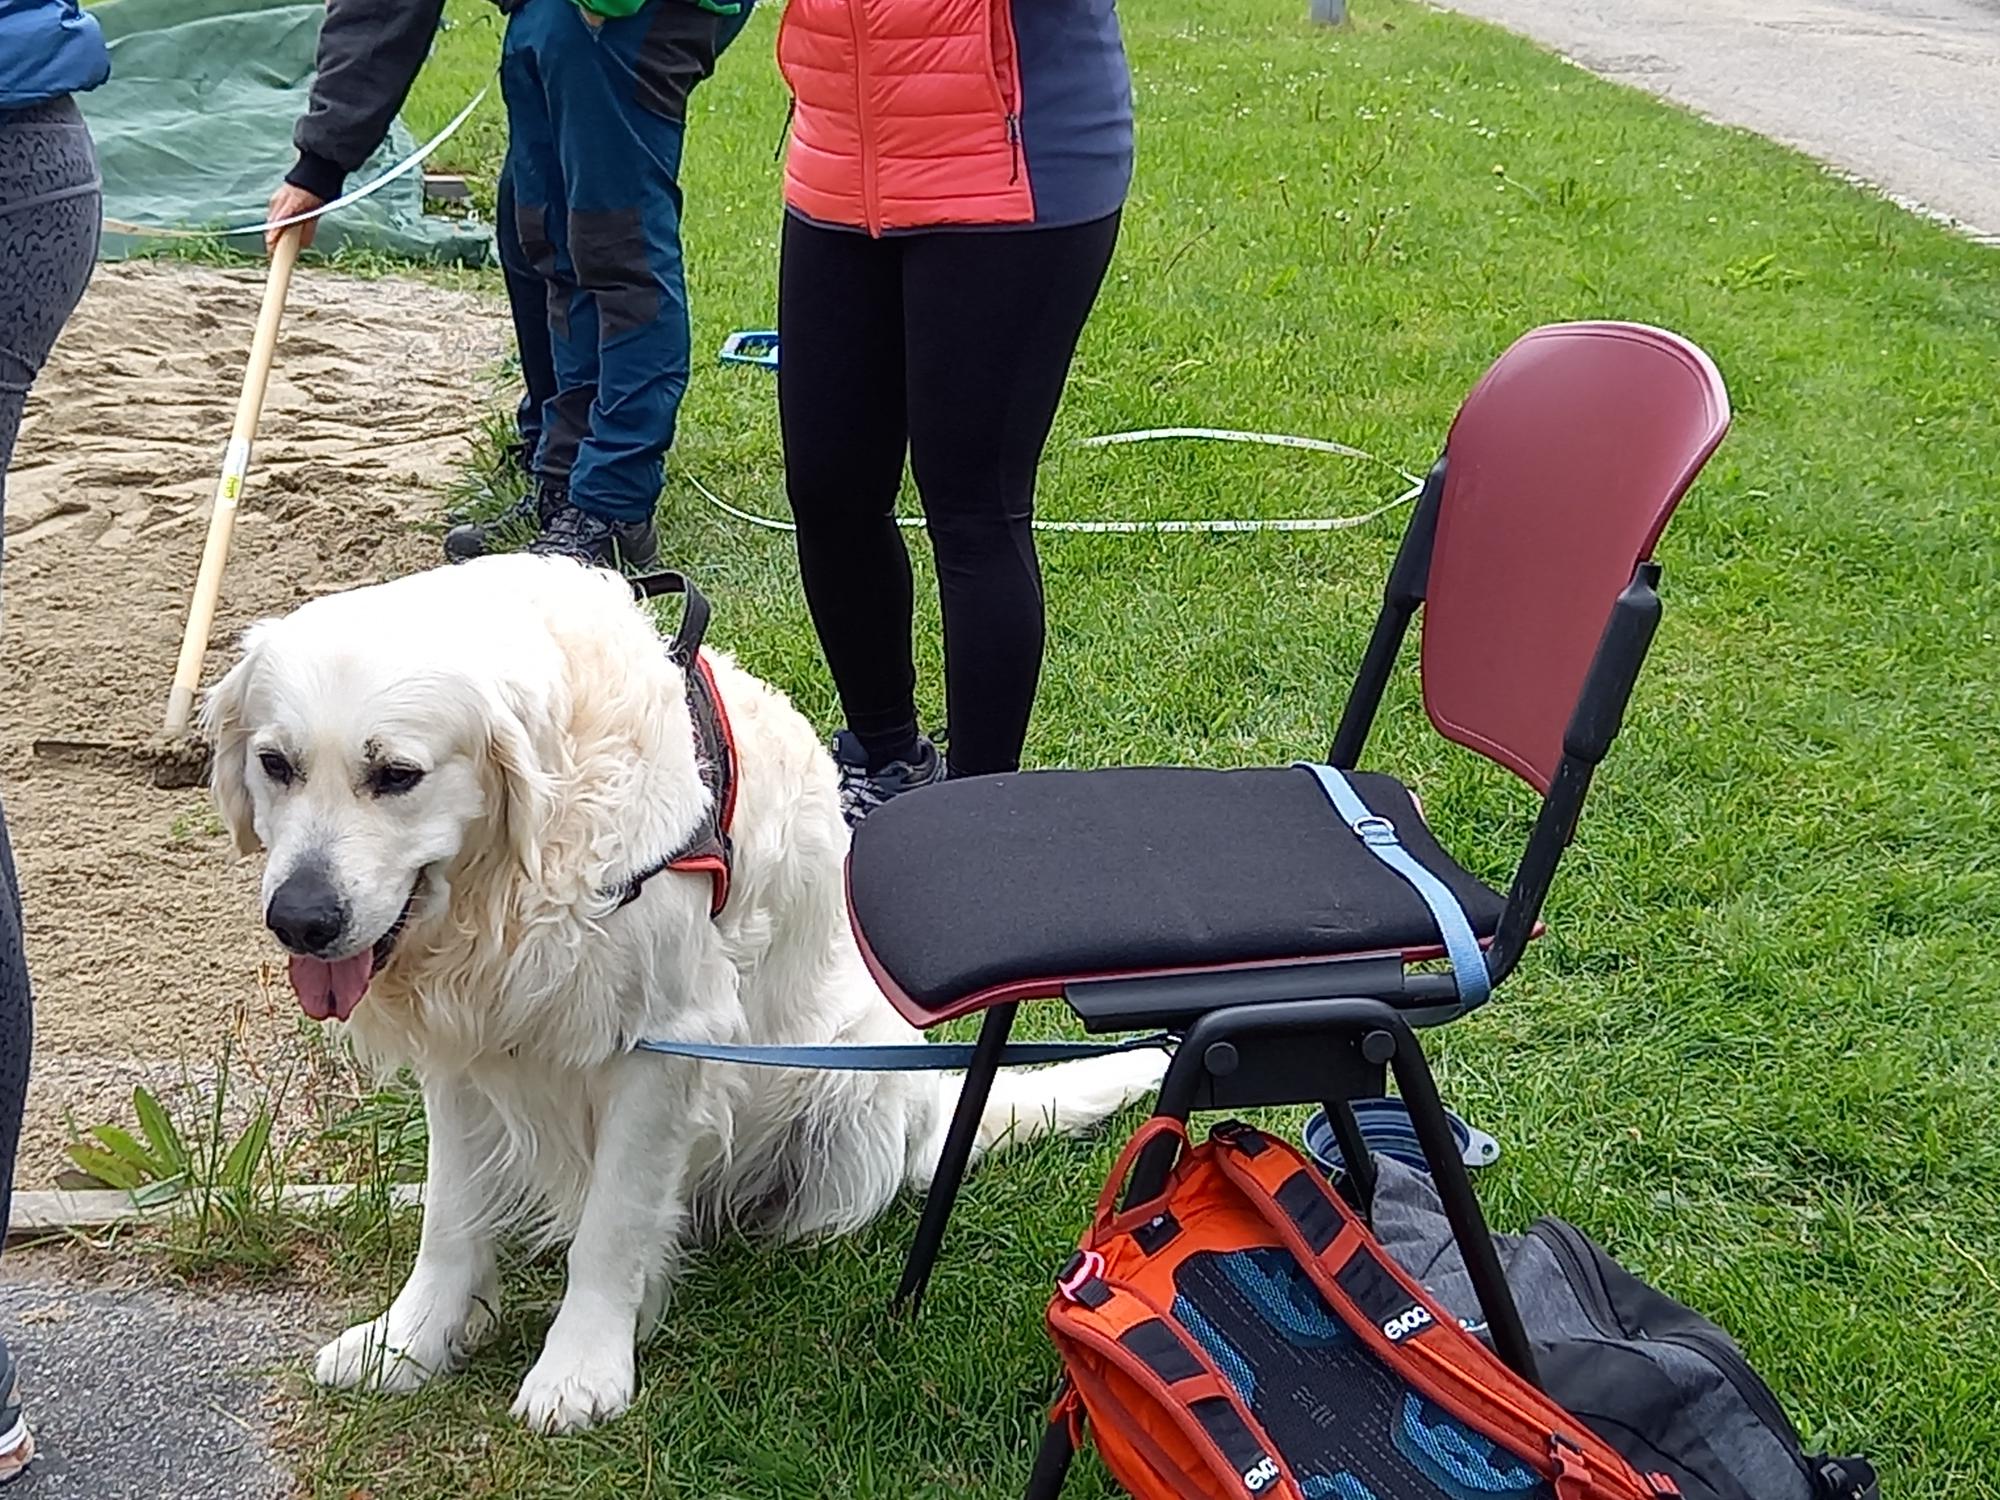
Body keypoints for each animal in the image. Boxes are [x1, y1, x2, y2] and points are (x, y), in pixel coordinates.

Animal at [203, 552, 1160, 1432]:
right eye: (276, 764)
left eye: (396, 775)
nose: (299, 920)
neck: (520, 870)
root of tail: (926, 1118)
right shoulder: (466, 1044)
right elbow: (450, 1215)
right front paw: (412, 1341)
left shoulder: (661, 1045)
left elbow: (614, 1225)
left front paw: (580, 1370)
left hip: (844, 1086)